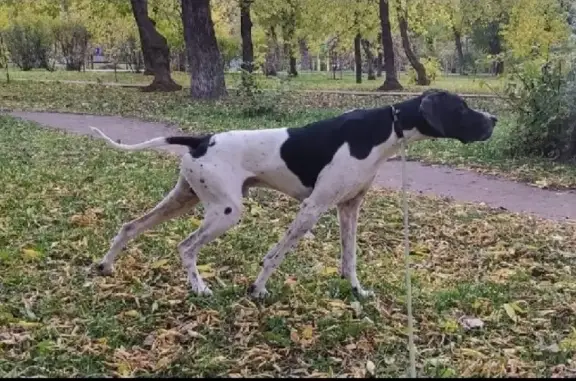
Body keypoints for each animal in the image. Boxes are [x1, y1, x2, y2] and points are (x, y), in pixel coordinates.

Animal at [90, 88, 496, 296]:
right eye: (462, 107)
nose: (494, 119)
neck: (387, 128)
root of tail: (200, 140)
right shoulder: (313, 208)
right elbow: (274, 255)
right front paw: (257, 289)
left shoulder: (349, 208)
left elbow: (349, 258)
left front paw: (356, 292)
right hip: (226, 212)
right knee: (185, 247)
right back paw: (200, 288)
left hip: (184, 198)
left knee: (130, 227)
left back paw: (106, 266)